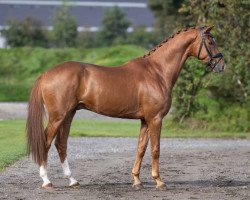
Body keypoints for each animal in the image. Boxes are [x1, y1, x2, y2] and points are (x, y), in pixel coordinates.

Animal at [26, 26, 225, 189]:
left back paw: (72, 180)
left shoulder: (145, 120)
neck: (157, 72)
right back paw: (46, 181)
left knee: (61, 144)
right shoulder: (155, 119)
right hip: (58, 116)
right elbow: (155, 149)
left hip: (69, 114)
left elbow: (141, 148)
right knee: (46, 142)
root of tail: (45, 74)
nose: (222, 65)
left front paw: (137, 180)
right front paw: (159, 181)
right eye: (210, 41)